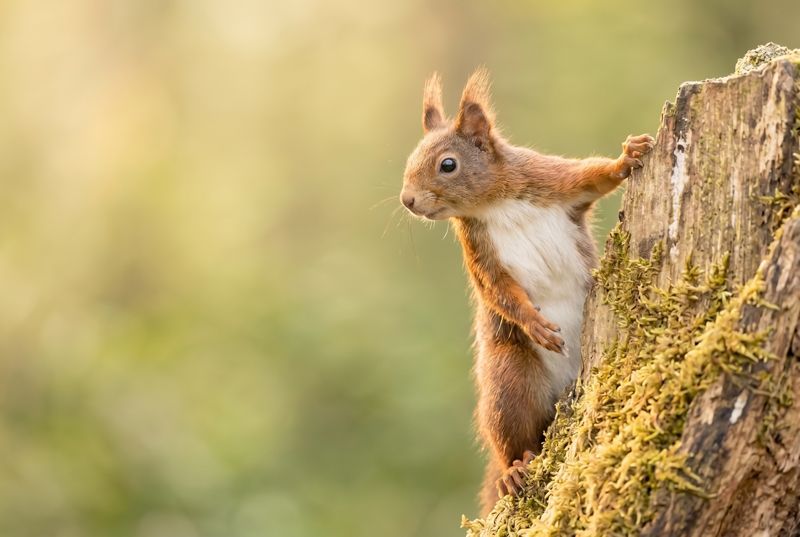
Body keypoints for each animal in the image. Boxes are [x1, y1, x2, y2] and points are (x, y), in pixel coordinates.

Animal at [399, 69, 654, 515]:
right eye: (411, 159)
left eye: (448, 164)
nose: (407, 199)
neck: (496, 203)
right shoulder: (479, 252)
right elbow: (499, 292)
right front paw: (535, 324)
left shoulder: (552, 180)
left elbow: (593, 176)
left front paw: (627, 158)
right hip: (509, 380)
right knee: (513, 439)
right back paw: (514, 471)